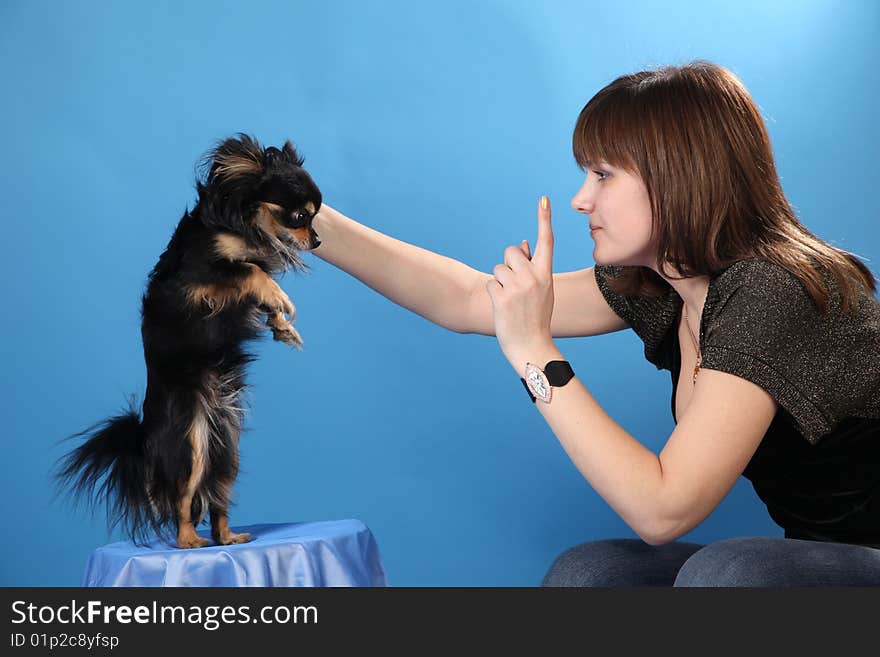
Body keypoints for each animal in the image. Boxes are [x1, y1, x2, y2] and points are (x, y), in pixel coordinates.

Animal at [54, 133, 324, 548]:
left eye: (314, 216)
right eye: (299, 217)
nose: (319, 240)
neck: (244, 227)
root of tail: (144, 437)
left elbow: (256, 278)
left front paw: (282, 325)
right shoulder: (194, 281)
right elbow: (249, 271)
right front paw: (279, 299)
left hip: (226, 450)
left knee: (215, 500)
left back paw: (228, 536)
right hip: (189, 446)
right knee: (182, 502)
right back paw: (190, 542)